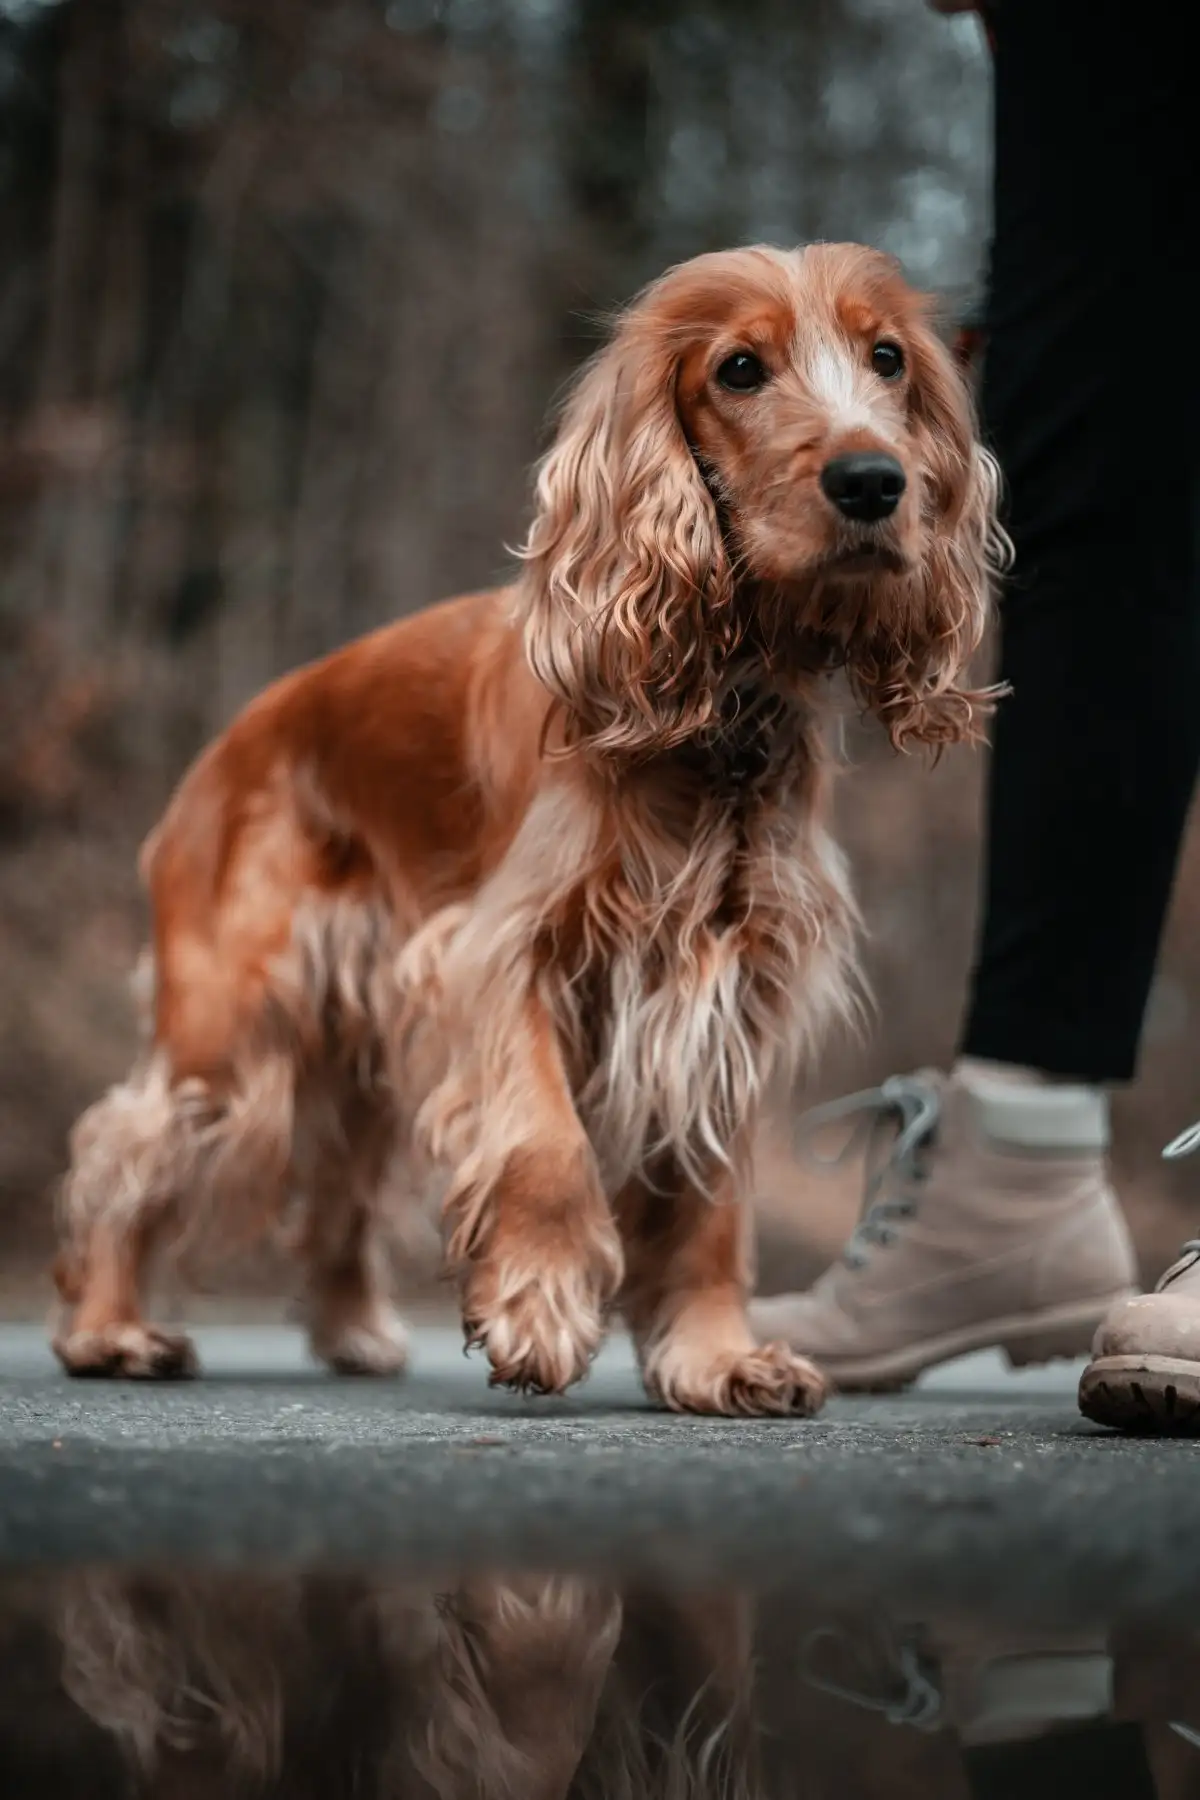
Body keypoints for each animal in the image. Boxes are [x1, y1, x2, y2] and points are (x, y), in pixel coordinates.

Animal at [49, 243, 1007, 1418]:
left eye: (888, 360)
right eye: (739, 368)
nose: (874, 482)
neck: (717, 720)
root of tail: (228, 741)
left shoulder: (729, 984)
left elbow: (711, 1201)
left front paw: (715, 1356)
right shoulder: (501, 952)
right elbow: (547, 1148)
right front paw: (539, 1311)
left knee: (339, 1178)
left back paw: (353, 1330)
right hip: (234, 1019)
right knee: (123, 1147)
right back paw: (109, 1329)